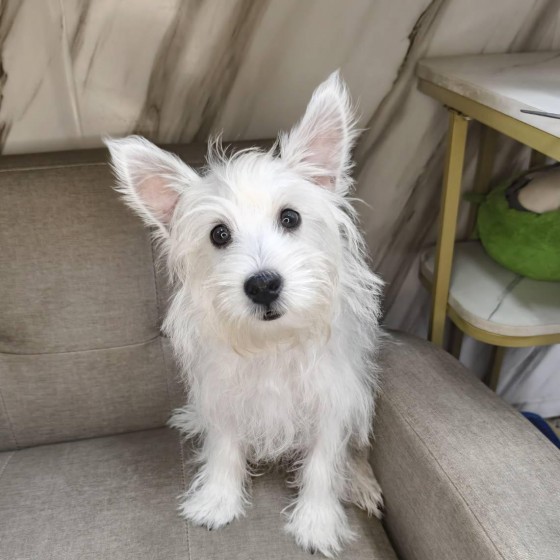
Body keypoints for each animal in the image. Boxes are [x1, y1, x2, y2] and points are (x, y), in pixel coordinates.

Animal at [106, 72, 384, 557]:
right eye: (219, 234)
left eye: (290, 218)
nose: (263, 284)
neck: (273, 343)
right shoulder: (224, 396)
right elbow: (223, 448)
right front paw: (216, 501)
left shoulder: (332, 400)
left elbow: (323, 464)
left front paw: (317, 523)